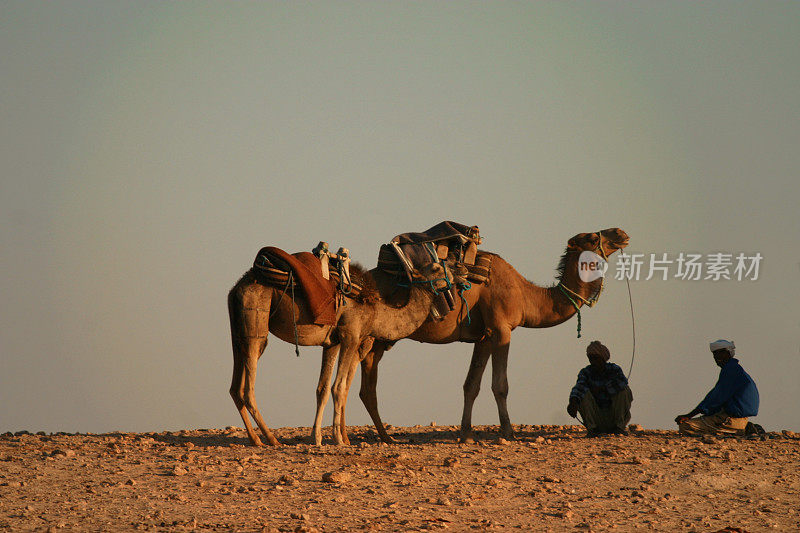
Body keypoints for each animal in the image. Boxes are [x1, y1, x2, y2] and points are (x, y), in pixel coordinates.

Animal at [228, 249, 450, 444]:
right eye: (436, 268)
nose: (457, 275)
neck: (376, 311)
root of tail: (236, 287)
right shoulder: (350, 335)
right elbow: (339, 387)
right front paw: (339, 439)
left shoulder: (332, 343)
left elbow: (323, 388)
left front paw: (316, 438)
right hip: (255, 321)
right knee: (248, 388)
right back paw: (272, 439)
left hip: (237, 332)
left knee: (235, 388)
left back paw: (256, 440)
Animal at [316, 227, 628, 442]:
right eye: (592, 237)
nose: (621, 233)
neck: (525, 295)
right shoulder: (502, 329)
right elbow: (500, 385)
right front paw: (508, 432)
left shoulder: (484, 336)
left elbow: (471, 385)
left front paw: (465, 434)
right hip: (367, 335)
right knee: (355, 382)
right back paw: (354, 436)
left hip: (380, 340)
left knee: (365, 385)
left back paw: (380, 436)